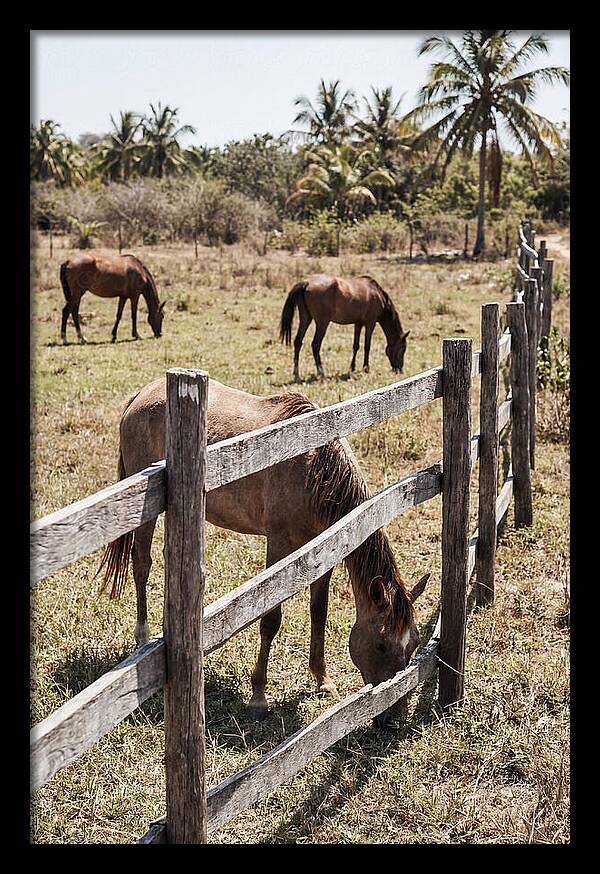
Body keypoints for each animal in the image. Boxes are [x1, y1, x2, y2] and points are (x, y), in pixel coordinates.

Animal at [97, 377, 430, 726]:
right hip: (144, 511)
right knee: (141, 564)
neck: (313, 469)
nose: (395, 715)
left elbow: (319, 612)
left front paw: (322, 680)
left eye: (414, 644)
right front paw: (258, 697)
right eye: (380, 645)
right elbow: (271, 619)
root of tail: (142, 394)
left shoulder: (324, 548)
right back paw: (143, 637)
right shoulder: (279, 544)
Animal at [280, 274, 410, 380]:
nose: (400, 370)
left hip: (306, 319)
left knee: (298, 342)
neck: (377, 294)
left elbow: (356, 346)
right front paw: (366, 368)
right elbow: (367, 346)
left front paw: (352, 368)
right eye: (402, 349)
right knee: (315, 345)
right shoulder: (370, 323)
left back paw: (296, 373)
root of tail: (306, 283)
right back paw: (321, 372)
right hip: (322, 323)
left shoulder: (358, 323)